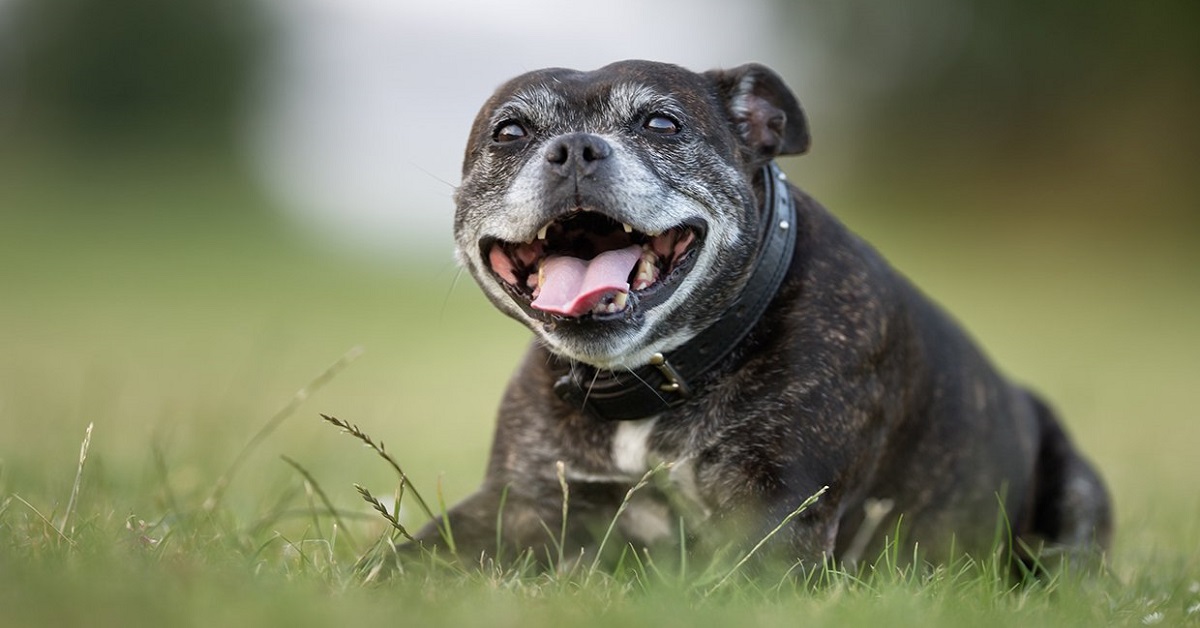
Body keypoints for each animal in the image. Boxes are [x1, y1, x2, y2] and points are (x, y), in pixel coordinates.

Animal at [415, 60, 1113, 569]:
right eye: (510, 133)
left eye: (661, 124)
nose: (575, 148)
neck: (657, 377)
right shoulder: (517, 505)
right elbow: (406, 563)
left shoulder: (777, 519)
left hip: (1074, 499)